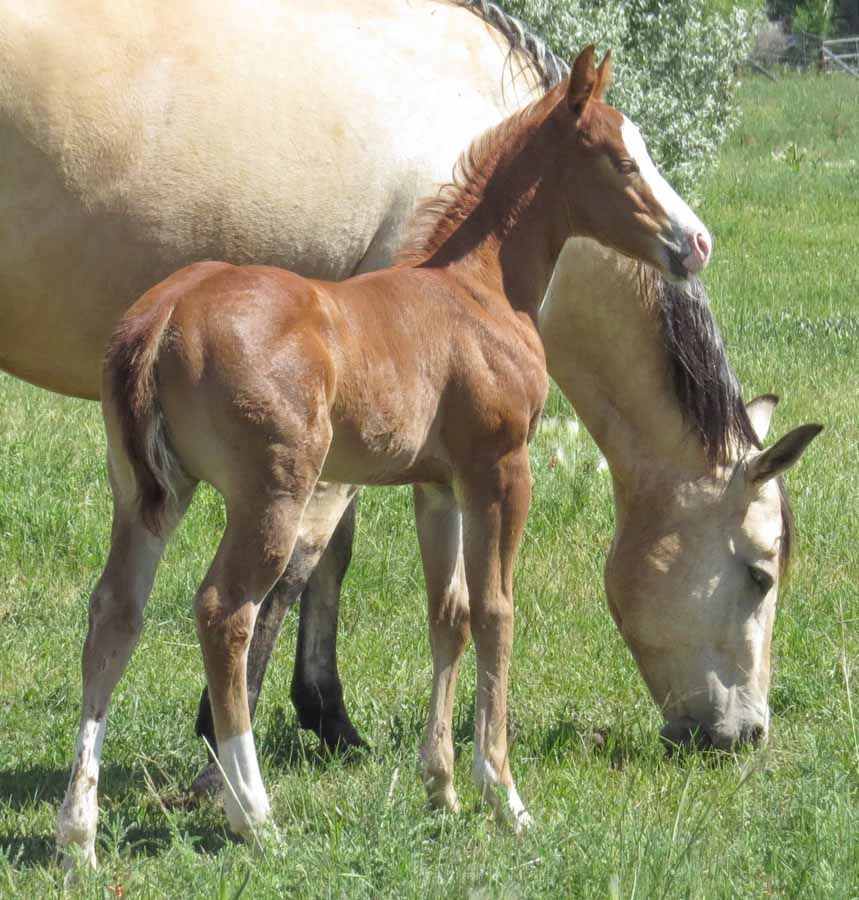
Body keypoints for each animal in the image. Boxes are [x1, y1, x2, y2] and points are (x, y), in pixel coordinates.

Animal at [56, 47, 715, 866]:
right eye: (625, 161)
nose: (696, 243)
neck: (478, 289)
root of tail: (165, 314)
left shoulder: (438, 485)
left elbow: (449, 613)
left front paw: (442, 787)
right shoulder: (501, 468)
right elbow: (496, 611)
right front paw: (504, 796)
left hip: (147, 494)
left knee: (114, 615)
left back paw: (77, 833)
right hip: (272, 494)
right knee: (224, 613)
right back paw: (255, 814)